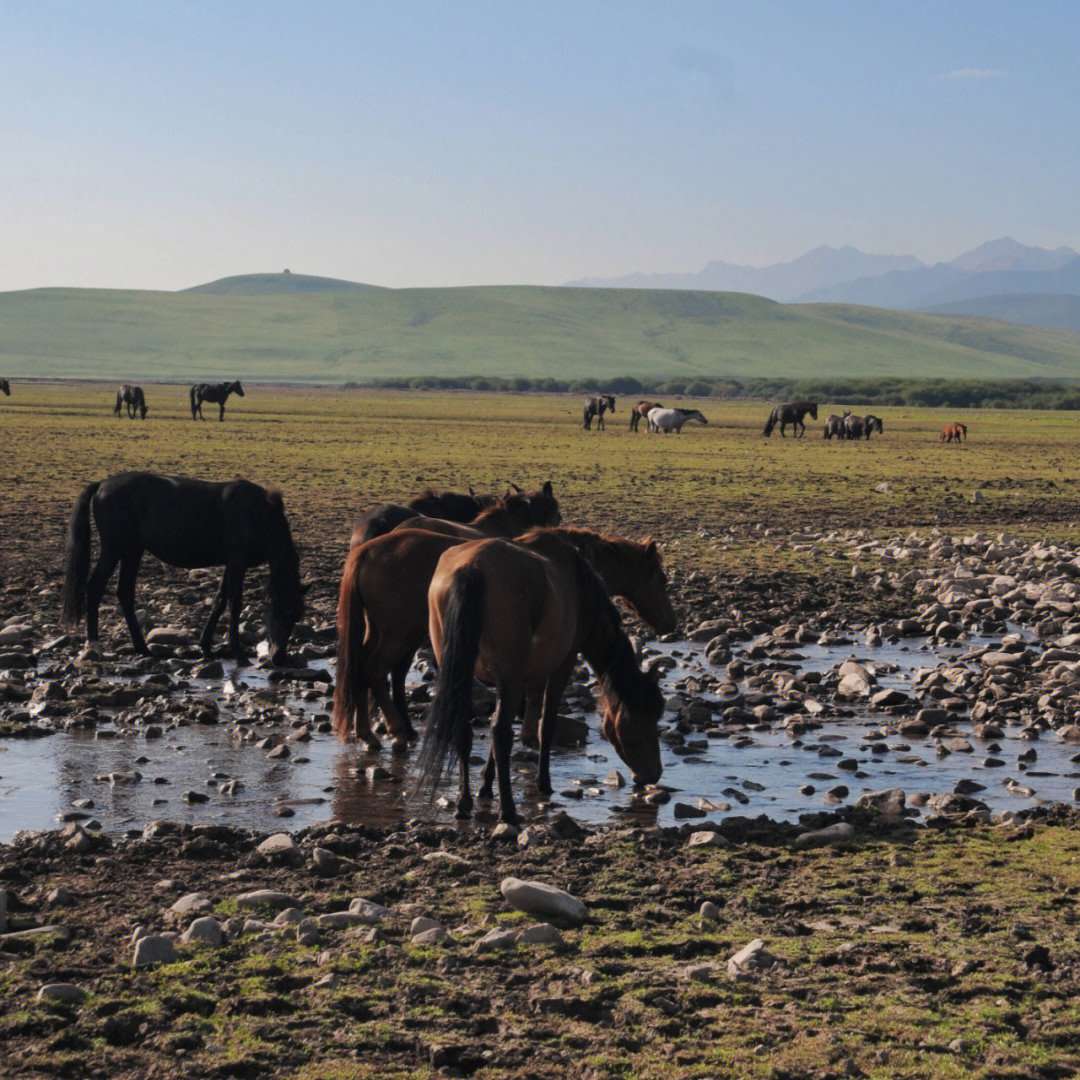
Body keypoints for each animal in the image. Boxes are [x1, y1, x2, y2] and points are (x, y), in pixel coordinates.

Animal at [60, 475, 308, 665]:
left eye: (297, 615)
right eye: (284, 611)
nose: (279, 657)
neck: (258, 513)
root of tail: (102, 484)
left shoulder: (232, 564)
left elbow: (219, 600)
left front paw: (206, 646)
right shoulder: (237, 561)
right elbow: (234, 603)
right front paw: (237, 652)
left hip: (133, 550)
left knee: (124, 593)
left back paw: (141, 647)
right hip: (114, 548)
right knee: (95, 587)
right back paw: (94, 645)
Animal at [332, 524, 678, 751]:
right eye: (661, 579)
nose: (671, 622)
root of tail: (365, 552)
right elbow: (536, 693)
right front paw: (531, 735)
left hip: (382, 630)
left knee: (360, 669)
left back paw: (367, 732)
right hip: (397, 632)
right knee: (373, 670)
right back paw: (394, 730)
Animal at [414, 535, 660, 820]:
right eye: (644, 720)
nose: (654, 774)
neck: (580, 587)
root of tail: (472, 568)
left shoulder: (522, 676)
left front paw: (485, 785)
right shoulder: (560, 667)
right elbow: (545, 725)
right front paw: (544, 784)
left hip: (460, 671)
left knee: (465, 728)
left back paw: (463, 802)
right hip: (507, 674)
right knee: (500, 731)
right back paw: (507, 810)